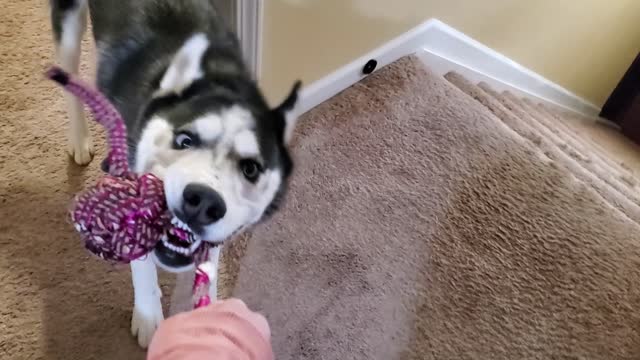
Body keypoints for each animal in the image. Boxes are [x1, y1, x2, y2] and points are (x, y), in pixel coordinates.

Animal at [50, 0, 300, 348]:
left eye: (250, 168)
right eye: (184, 140)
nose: (203, 201)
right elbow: (141, 262)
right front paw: (149, 317)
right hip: (69, 24)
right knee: (70, 78)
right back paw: (79, 138)